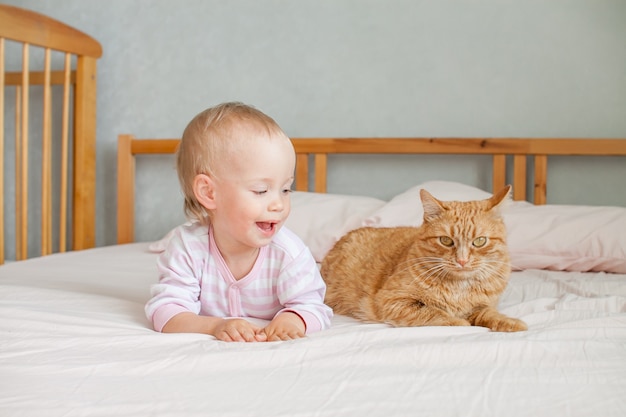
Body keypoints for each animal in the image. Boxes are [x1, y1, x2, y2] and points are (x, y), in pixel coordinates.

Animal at [320, 185, 524, 332]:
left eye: (480, 241)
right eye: (446, 240)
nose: (462, 260)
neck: (459, 287)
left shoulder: (483, 306)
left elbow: (489, 314)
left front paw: (509, 322)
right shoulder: (392, 301)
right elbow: (435, 312)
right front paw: (460, 322)